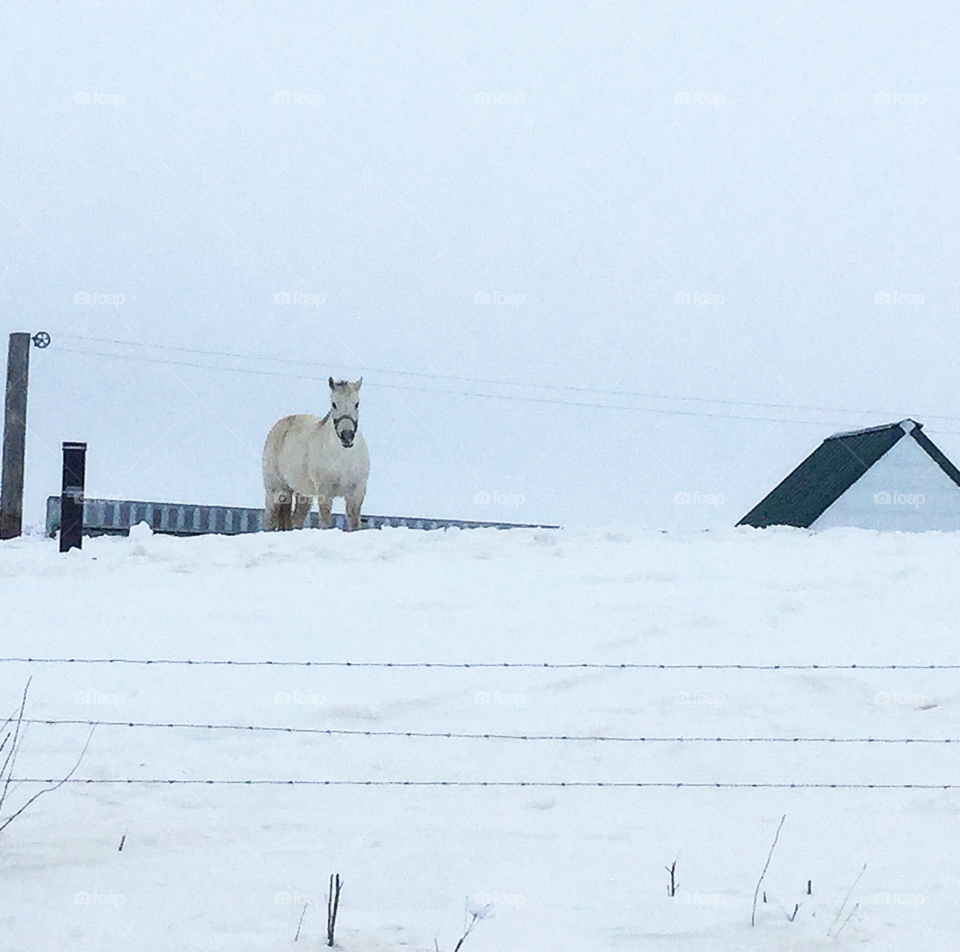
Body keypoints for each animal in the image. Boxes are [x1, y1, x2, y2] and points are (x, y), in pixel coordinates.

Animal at [260, 378, 370, 528]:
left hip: (303, 495)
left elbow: (354, 525)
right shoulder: (325, 493)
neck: (342, 457)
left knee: (296, 521)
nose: (347, 436)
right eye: (334, 404)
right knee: (270, 522)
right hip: (276, 490)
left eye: (357, 403)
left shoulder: (357, 493)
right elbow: (326, 523)